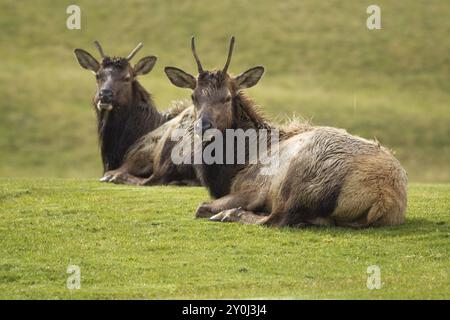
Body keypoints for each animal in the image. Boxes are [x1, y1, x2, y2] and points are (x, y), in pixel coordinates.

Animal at [164, 37, 408, 228]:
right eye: (194, 96)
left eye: (227, 97)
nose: (203, 126)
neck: (232, 168)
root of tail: (384, 196)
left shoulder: (254, 188)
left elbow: (201, 206)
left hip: (298, 183)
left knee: (276, 220)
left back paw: (229, 214)